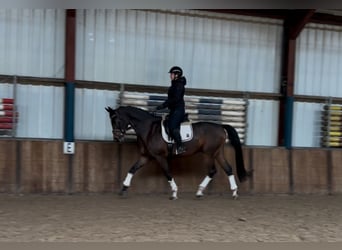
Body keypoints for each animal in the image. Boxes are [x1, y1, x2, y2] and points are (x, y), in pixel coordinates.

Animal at [105, 105, 251, 199]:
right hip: (217, 153)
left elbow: (167, 173)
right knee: (228, 169)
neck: (149, 129)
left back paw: (201, 191)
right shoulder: (146, 156)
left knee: (213, 171)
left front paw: (174, 193)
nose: (117, 138)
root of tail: (221, 127)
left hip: (209, 154)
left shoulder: (159, 156)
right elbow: (132, 169)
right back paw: (232, 192)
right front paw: (124, 188)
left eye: (116, 120)